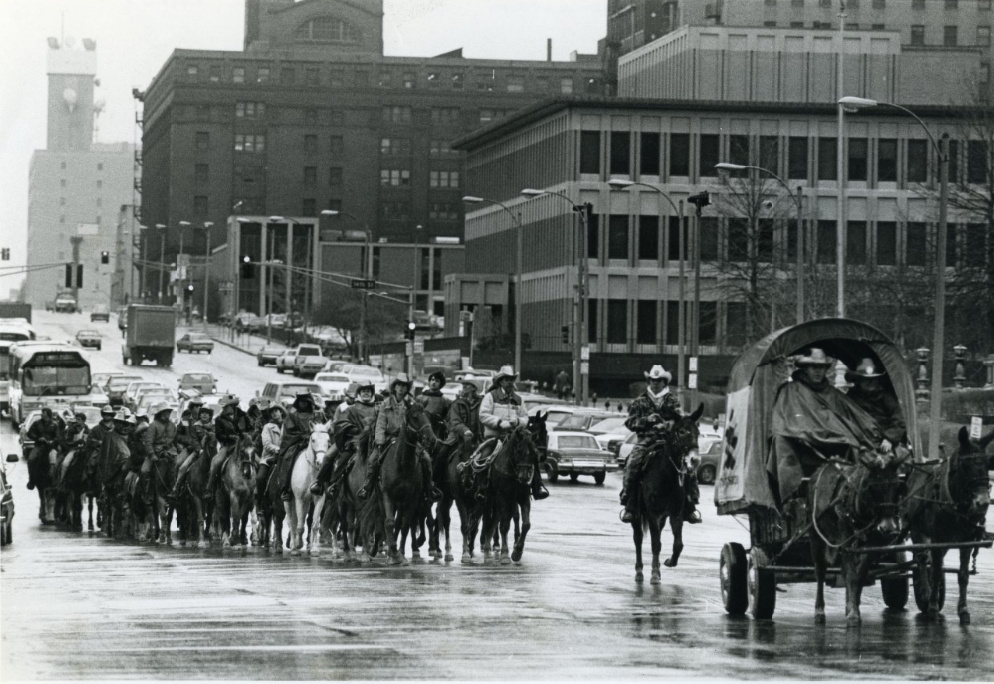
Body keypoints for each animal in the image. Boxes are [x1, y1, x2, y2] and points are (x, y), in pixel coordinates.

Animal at [284, 424, 332, 560]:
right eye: (313, 440)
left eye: (328, 440)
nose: (321, 462)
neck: (310, 472)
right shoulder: (299, 499)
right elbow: (299, 526)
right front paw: (298, 545)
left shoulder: (319, 499)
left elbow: (315, 524)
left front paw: (315, 549)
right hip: (289, 501)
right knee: (291, 522)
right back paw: (294, 546)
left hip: (306, 503)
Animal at [632, 404, 700, 584]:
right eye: (681, 432)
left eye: (698, 432)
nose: (695, 460)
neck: (666, 476)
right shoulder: (653, 514)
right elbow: (655, 544)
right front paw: (655, 574)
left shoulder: (675, 514)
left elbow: (678, 544)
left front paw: (670, 562)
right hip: (636, 515)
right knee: (638, 539)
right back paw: (639, 571)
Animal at [808, 446, 908, 628]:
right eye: (872, 488)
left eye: (898, 488)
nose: (889, 528)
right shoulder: (846, 543)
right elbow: (852, 577)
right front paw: (853, 615)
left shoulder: (870, 546)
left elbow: (858, 576)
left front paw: (852, 608)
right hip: (816, 536)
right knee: (820, 571)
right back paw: (819, 611)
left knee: (844, 571)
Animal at [904, 428, 988, 624]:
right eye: (965, 466)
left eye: (988, 464)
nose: (983, 502)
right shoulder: (937, 538)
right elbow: (935, 572)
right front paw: (933, 607)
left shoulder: (967, 540)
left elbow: (963, 575)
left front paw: (963, 610)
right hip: (916, 529)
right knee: (922, 559)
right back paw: (925, 594)